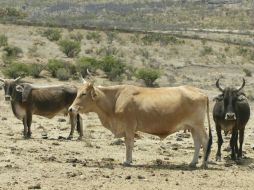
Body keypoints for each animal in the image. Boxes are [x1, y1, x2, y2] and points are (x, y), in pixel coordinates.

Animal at [69, 80, 212, 168]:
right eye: (77, 93)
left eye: (84, 93)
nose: (71, 109)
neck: (115, 99)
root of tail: (202, 92)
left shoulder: (129, 126)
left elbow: (129, 143)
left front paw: (127, 161)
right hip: (192, 127)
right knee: (197, 142)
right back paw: (192, 162)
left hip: (198, 125)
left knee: (205, 140)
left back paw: (203, 164)